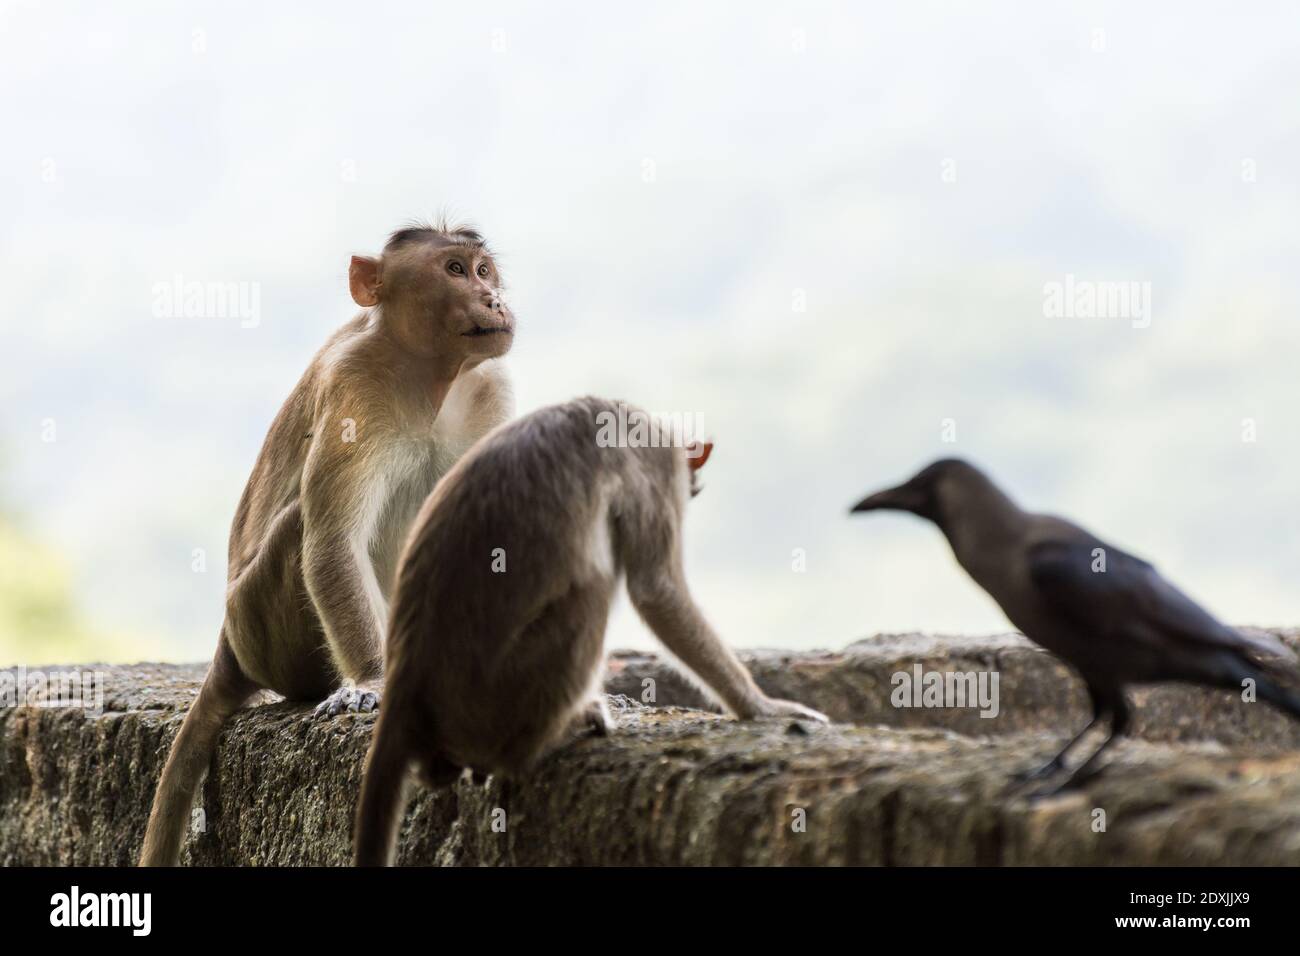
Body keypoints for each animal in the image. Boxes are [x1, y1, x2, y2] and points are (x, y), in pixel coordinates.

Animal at [138, 218, 512, 868]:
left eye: (484, 270)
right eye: (455, 270)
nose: (492, 299)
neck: (433, 375)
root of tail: (228, 647)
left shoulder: (490, 389)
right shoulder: (354, 385)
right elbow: (333, 542)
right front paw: (371, 683)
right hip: (263, 628)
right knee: (301, 529)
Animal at [351, 395, 826, 868]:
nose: (694, 488)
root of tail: (406, 686)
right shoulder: (655, 471)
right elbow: (656, 590)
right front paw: (762, 707)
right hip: (494, 698)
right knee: (593, 590)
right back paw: (550, 737)